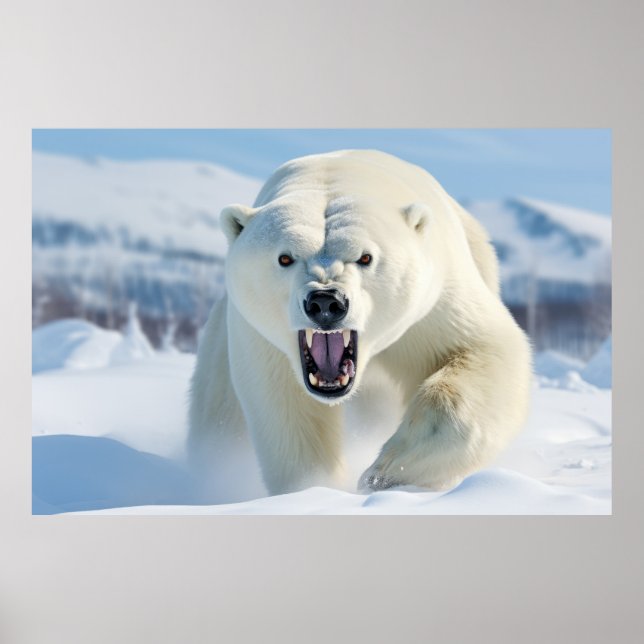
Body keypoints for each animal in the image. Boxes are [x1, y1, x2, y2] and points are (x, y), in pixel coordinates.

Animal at [188, 149, 532, 497]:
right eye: (285, 258)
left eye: (365, 257)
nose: (325, 302)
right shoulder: (262, 340)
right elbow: (287, 410)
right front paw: (315, 487)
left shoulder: (433, 305)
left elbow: (484, 349)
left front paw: (383, 473)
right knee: (219, 410)